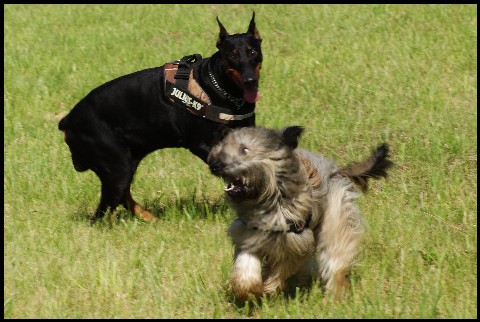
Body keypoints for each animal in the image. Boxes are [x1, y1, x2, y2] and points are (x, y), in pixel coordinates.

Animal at [208, 126, 392, 302]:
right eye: (223, 144)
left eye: (245, 149)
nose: (214, 164)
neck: (270, 198)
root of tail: (336, 172)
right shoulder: (249, 235)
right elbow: (247, 266)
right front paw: (248, 291)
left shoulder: (296, 240)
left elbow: (283, 267)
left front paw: (268, 287)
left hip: (335, 219)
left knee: (336, 262)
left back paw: (333, 299)